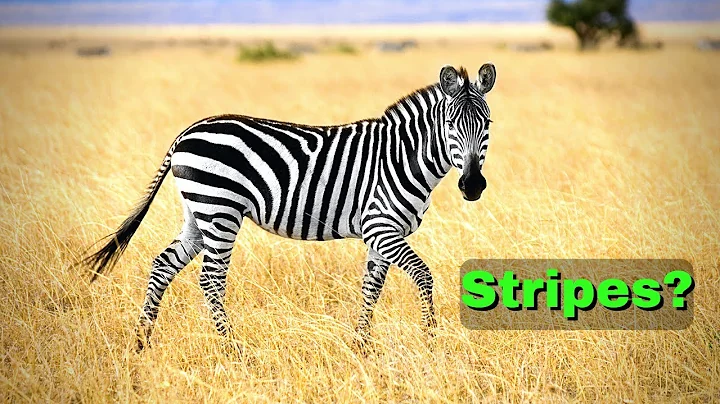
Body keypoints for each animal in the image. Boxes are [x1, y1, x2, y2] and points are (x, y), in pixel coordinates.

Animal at [81, 63, 496, 351]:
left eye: (488, 124)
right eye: (451, 124)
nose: (473, 185)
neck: (401, 156)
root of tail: (186, 132)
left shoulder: (382, 235)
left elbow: (371, 289)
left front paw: (361, 346)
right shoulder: (381, 226)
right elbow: (423, 276)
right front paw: (431, 341)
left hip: (198, 214)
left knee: (163, 264)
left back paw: (142, 342)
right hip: (221, 210)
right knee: (211, 281)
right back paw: (232, 350)